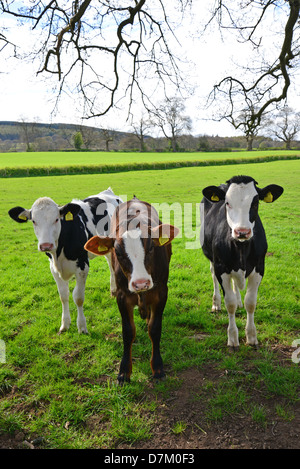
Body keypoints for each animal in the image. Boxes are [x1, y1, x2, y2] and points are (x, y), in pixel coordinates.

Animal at [9, 186, 122, 332]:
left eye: (57, 219)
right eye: (33, 221)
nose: (46, 245)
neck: (59, 253)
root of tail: (108, 192)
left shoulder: (82, 266)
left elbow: (78, 297)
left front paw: (82, 327)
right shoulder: (53, 268)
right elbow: (63, 296)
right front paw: (65, 324)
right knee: (110, 264)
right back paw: (113, 290)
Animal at [83, 196, 179, 382]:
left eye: (151, 247)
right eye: (118, 252)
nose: (141, 283)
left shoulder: (161, 292)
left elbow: (155, 328)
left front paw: (158, 368)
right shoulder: (122, 296)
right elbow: (128, 332)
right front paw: (124, 371)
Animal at [202, 175, 284, 348]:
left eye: (256, 203)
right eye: (227, 202)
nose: (242, 231)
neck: (241, 247)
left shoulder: (259, 267)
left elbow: (250, 302)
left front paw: (252, 336)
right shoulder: (221, 267)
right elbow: (230, 304)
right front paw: (233, 338)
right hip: (212, 258)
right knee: (213, 276)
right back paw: (216, 303)